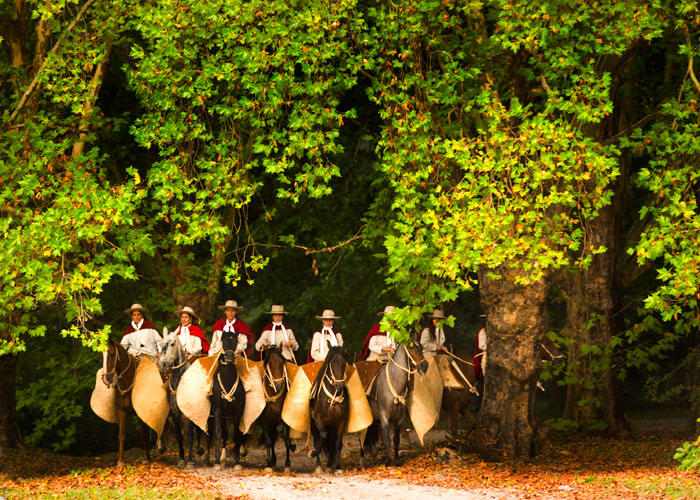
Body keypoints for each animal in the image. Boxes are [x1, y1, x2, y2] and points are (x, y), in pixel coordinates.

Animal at [100, 338, 150, 466]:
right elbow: (121, 435)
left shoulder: (140, 413)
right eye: (101, 355)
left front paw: (147, 458)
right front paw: (120, 461)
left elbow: (144, 434)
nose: (106, 380)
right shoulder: (122, 412)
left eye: (112, 354)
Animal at [208, 330, 246, 470]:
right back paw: (220, 459)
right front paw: (217, 462)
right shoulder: (218, 410)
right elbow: (219, 433)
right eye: (224, 341)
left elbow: (236, 434)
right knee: (222, 433)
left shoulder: (238, 411)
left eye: (235, 341)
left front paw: (237, 462)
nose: (229, 356)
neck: (227, 381)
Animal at [310, 346, 348, 474]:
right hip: (314, 425)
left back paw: (330, 464)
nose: (339, 386)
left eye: (344, 362)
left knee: (331, 443)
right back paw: (318, 465)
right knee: (317, 440)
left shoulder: (341, 421)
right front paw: (313, 453)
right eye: (332, 362)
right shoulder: (318, 419)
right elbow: (322, 437)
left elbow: (338, 443)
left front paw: (338, 467)